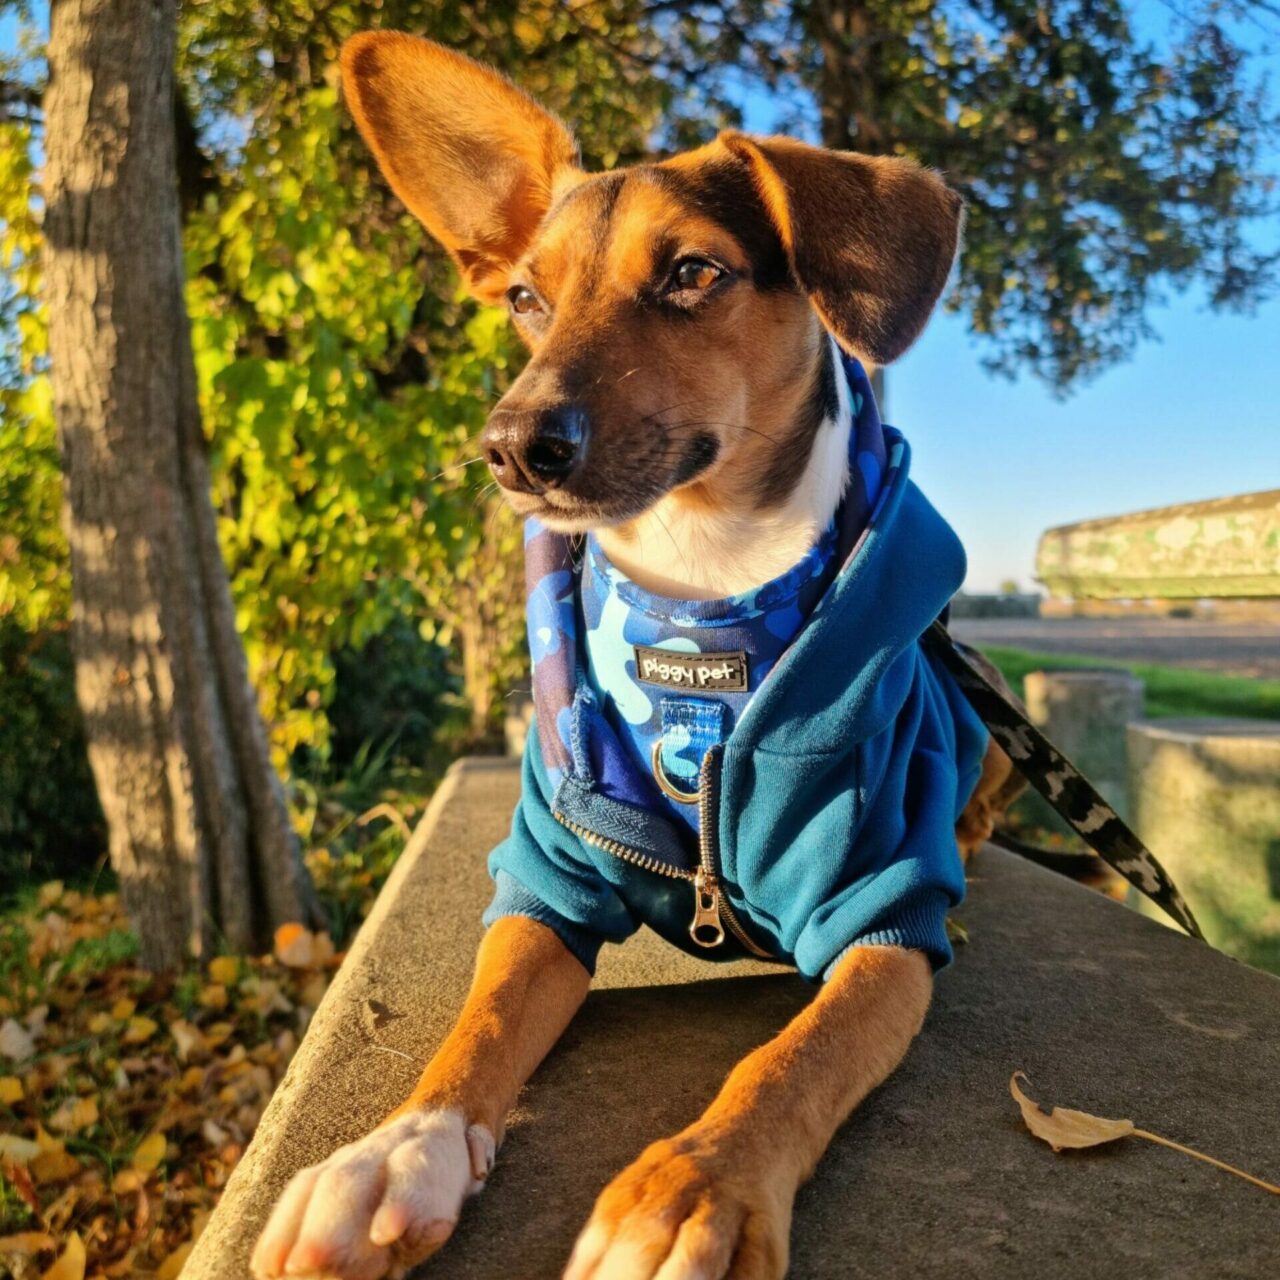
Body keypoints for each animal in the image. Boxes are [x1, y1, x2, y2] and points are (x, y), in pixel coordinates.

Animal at [252, 30, 1018, 1280]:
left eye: (694, 274)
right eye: (523, 296)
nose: (512, 444)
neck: (700, 608)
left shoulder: (882, 925)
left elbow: (786, 1057)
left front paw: (689, 1185)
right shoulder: (543, 882)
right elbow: (478, 1023)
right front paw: (394, 1149)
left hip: (982, 715)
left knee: (978, 797)